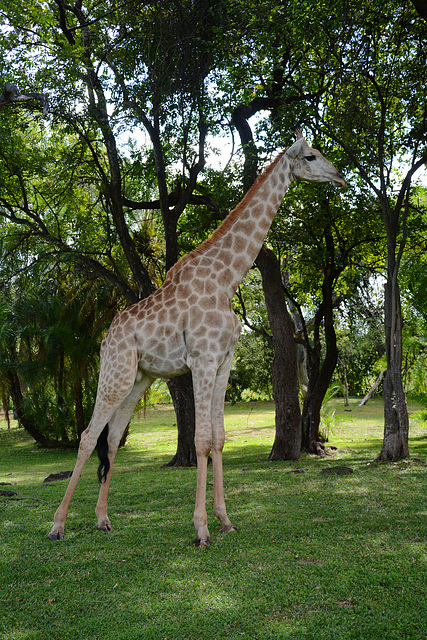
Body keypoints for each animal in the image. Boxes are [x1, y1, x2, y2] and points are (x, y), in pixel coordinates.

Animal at [47, 130, 348, 544]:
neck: (226, 279)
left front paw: (225, 520)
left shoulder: (223, 362)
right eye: (311, 156)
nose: (340, 177)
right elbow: (201, 440)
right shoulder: (202, 359)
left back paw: (103, 519)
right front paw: (202, 528)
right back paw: (57, 525)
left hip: (138, 380)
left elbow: (218, 438)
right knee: (88, 436)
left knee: (111, 439)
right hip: (115, 373)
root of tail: (105, 338)